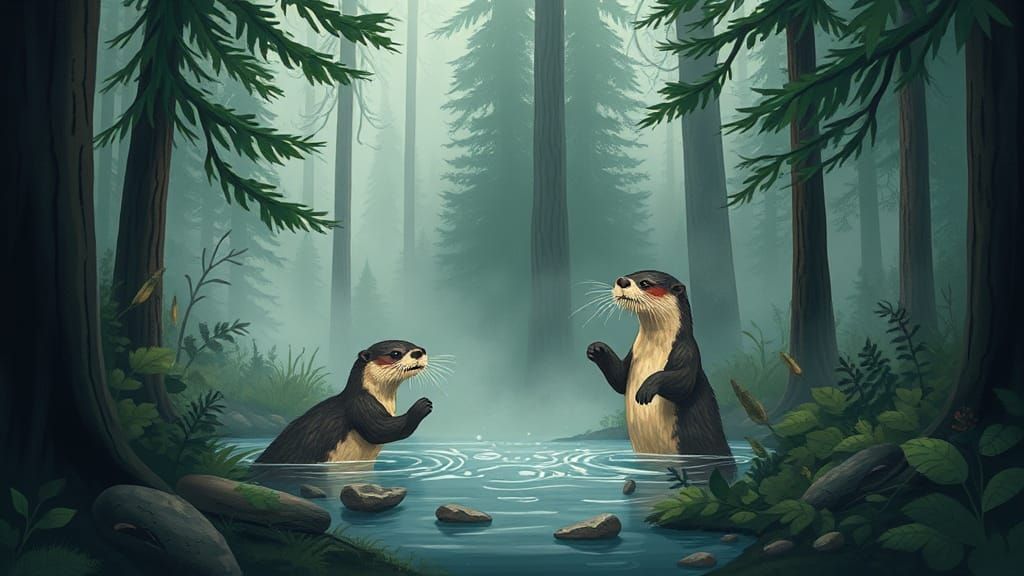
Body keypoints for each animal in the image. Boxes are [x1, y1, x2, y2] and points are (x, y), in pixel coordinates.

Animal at [255, 340, 433, 464]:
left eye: (416, 345)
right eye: (395, 353)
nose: (419, 352)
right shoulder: (359, 404)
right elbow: (380, 430)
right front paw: (421, 406)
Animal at [586, 271, 733, 464]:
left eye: (645, 283)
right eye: (628, 275)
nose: (622, 281)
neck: (653, 350)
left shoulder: (687, 352)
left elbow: (683, 384)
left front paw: (646, 389)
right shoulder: (632, 355)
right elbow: (619, 379)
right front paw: (597, 348)